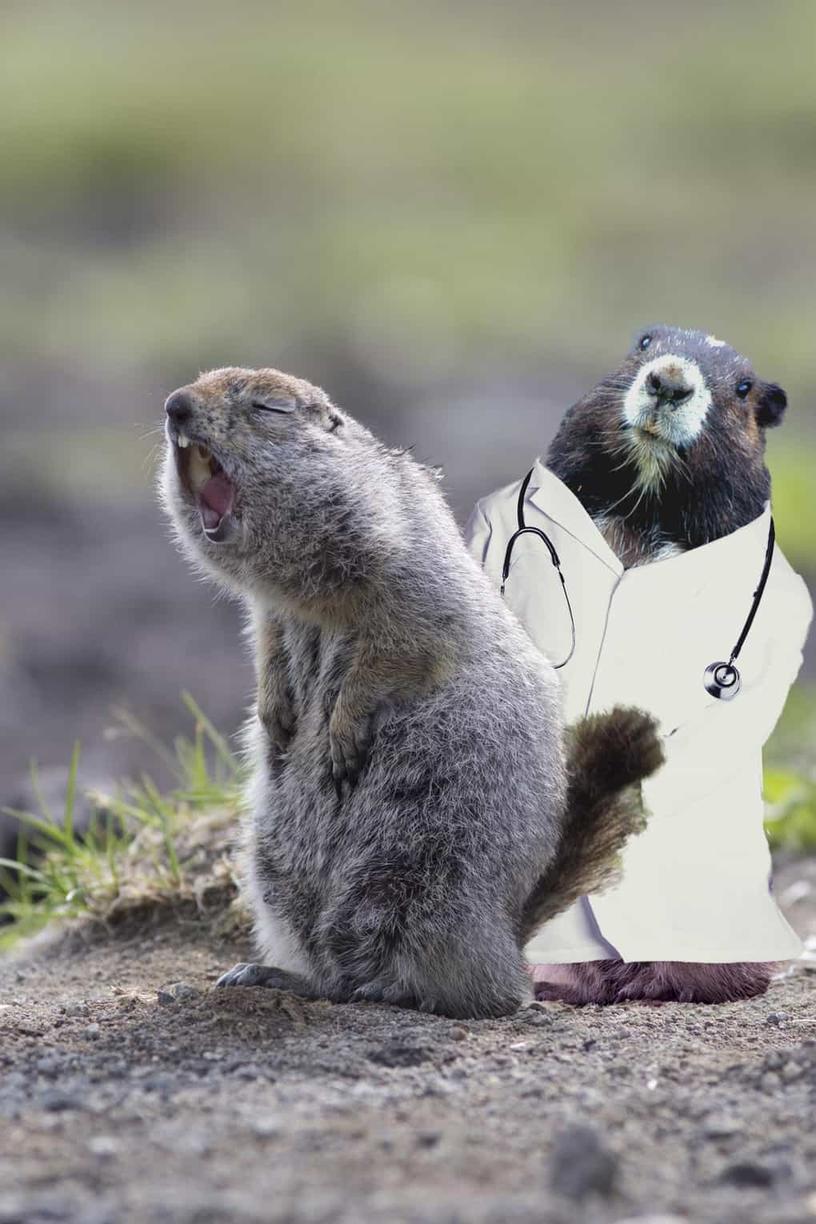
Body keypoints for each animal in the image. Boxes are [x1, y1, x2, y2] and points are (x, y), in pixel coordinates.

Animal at [157, 367, 665, 1018]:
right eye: (196, 382)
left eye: (269, 408)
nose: (175, 406)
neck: (307, 599)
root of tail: (505, 937)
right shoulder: (270, 613)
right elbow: (267, 647)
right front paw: (274, 715)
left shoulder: (407, 579)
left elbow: (402, 648)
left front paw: (339, 732)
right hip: (274, 871)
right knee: (330, 965)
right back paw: (274, 975)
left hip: (414, 870)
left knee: (473, 990)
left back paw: (394, 988)